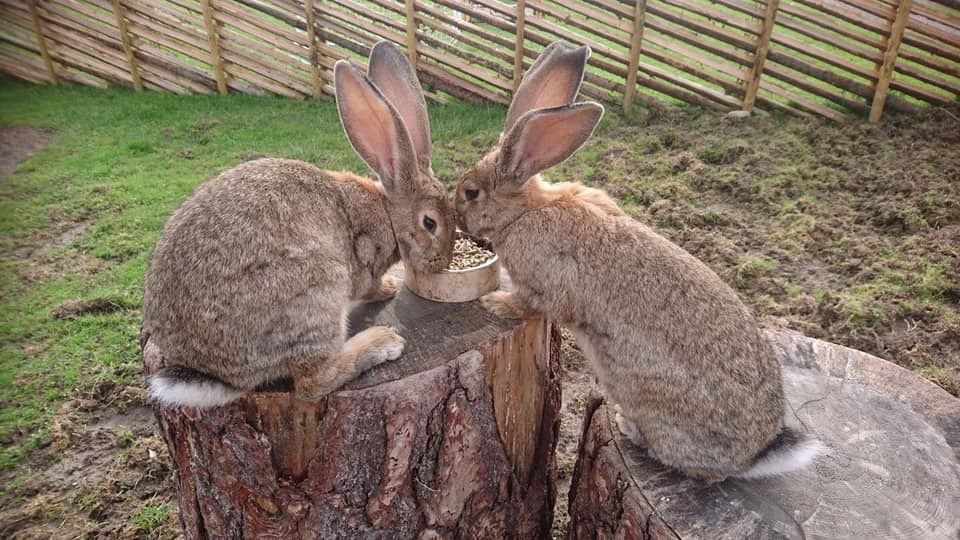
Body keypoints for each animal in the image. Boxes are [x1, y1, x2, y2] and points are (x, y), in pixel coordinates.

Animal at [141, 41, 455, 409]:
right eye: (430, 223)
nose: (443, 262)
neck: (387, 213)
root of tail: (214, 373)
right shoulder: (362, 263)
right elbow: (368, 286)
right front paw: (389, 287)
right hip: (316, 291)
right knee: (312, 382)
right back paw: (381, 342)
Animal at [454, 42, 825, 481]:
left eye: (472, 193)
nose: (456, 216)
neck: (526, 210)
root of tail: (757, 455)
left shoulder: (547, 283)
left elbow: (532, 303)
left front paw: (495, 303)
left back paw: (627, 427)